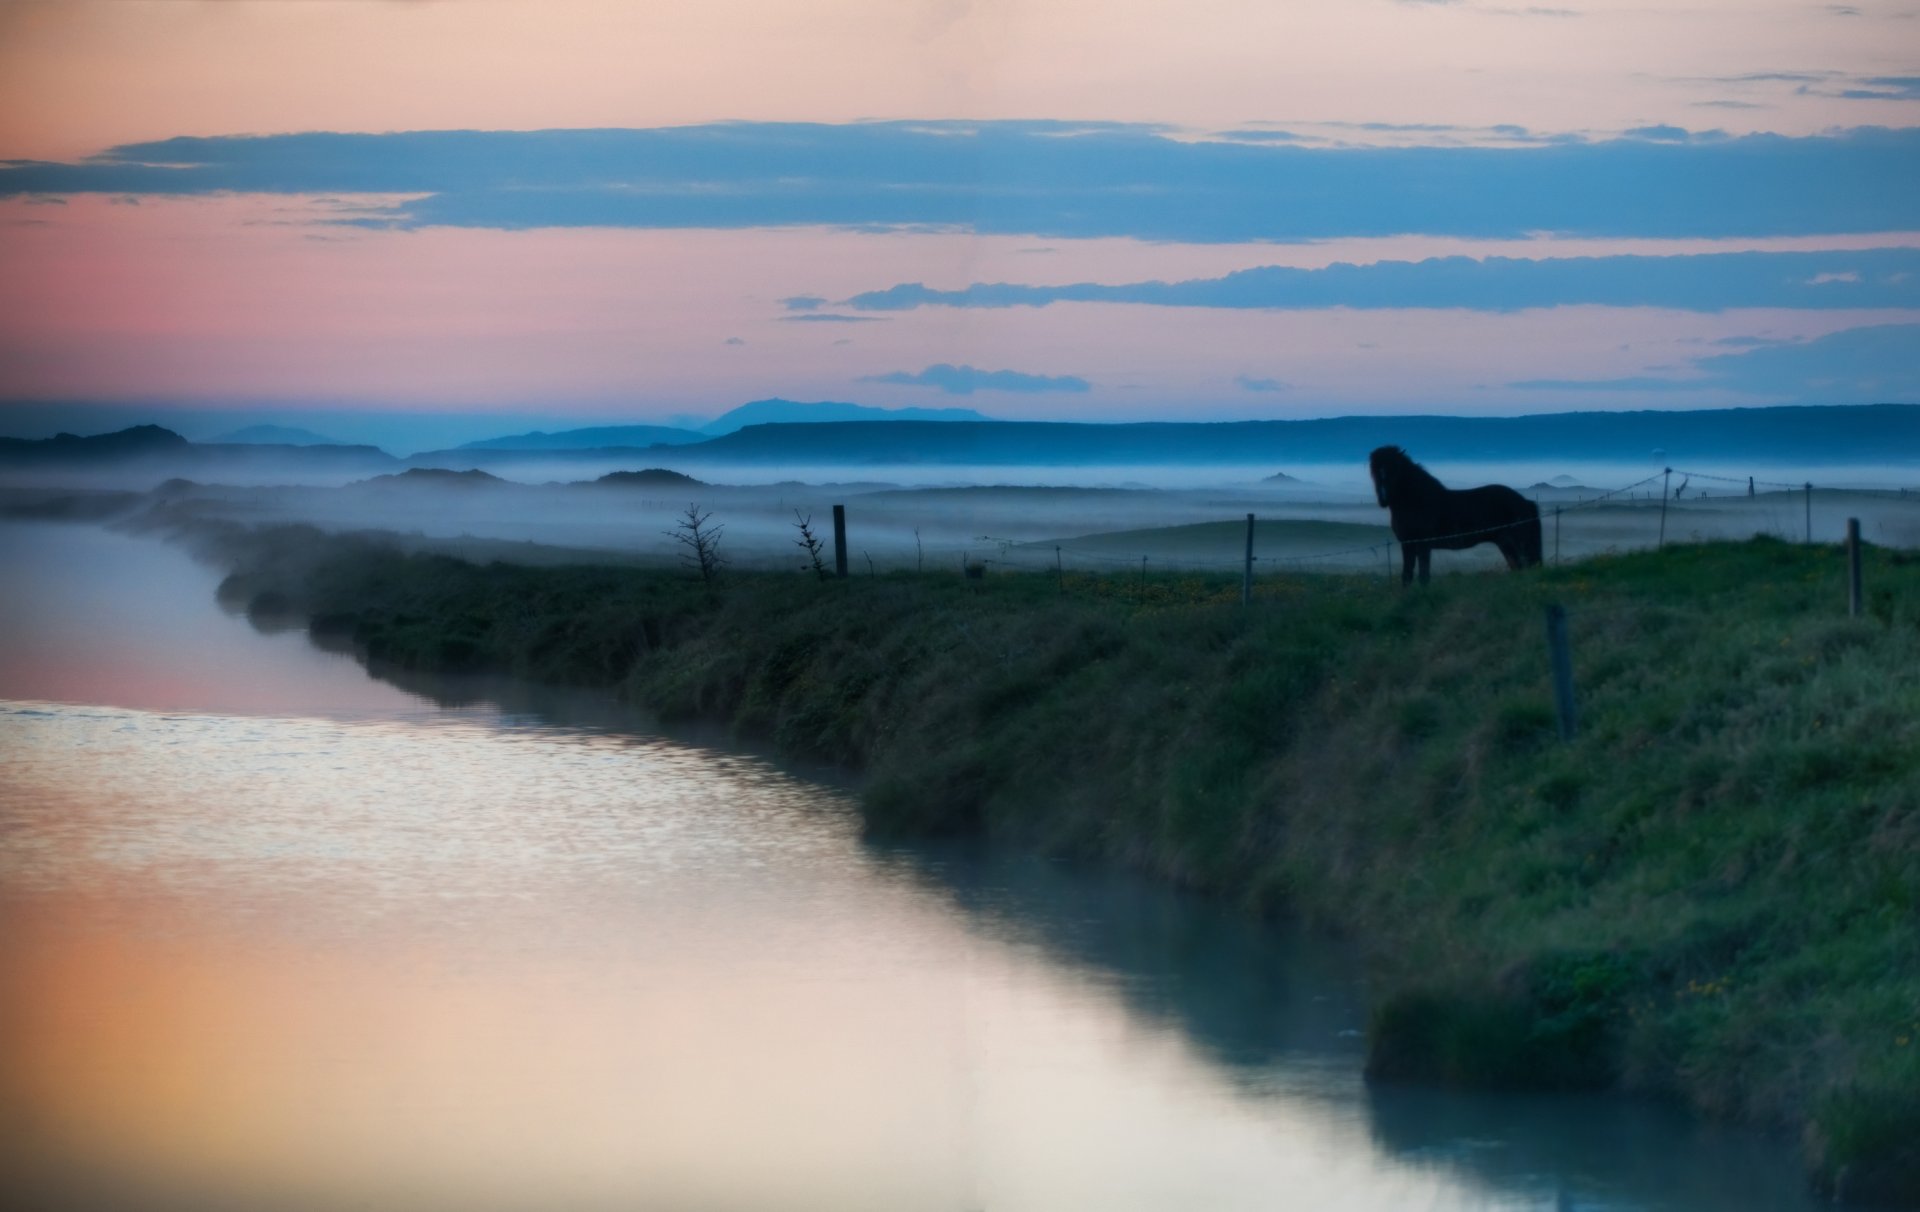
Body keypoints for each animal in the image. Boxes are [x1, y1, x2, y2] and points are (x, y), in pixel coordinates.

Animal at [1368, 445, 1542, 586]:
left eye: (1396, 469)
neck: (1417, 501)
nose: (1383, 499)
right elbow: (1407, 575)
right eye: (1374, 472)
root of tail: (1525, 501)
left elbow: (1423, 576)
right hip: (1505, 544)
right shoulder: (1407, 544)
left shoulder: (1423, 545)